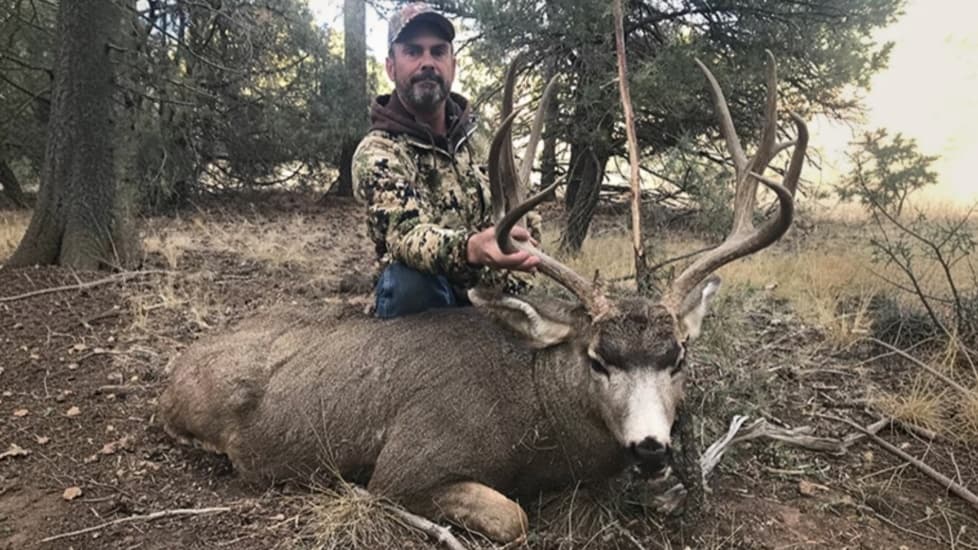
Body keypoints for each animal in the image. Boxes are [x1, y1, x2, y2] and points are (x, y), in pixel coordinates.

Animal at [160, 52, 807, 544]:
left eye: (677, 358)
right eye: (598, 359)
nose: (650, 447)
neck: (534, 417)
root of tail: (174, 368)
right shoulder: (409, 461)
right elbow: (509, 516)